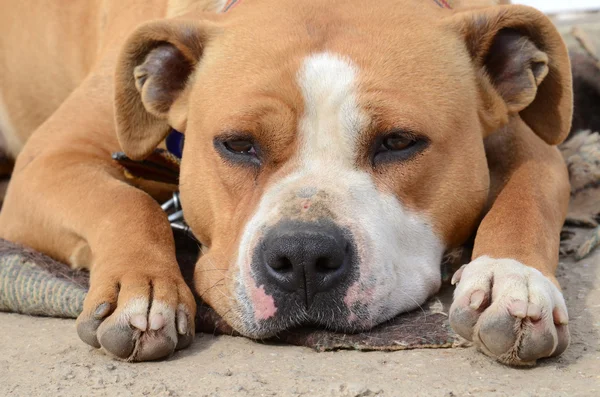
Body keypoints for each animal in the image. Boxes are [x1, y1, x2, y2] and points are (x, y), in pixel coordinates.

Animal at [0, 0, 572, 366]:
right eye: (237, 144)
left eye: (399, 141)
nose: (302, 256)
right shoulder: (49, 161)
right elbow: (124, 203)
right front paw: (141, 290)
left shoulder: (535, 142)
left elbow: (529, 195)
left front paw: (511, 280)